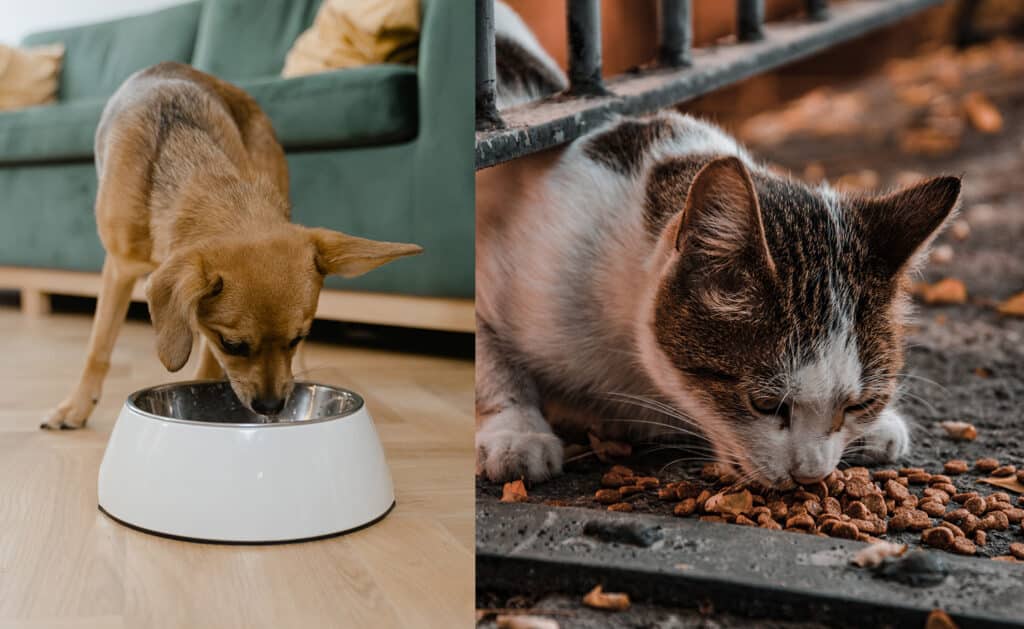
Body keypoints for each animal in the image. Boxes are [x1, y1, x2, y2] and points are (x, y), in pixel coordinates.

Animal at [41, 61, 421, 432]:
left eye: (297, 338)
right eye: (233, 345)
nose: (271, 407)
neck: (198, 173)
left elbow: (206, 366)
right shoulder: (119, 268)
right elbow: (98, 348)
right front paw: (76, 406)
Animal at [475, 2, 962, 487]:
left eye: (858, 405)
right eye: (765, 404)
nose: (810, 475)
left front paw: (879, 427)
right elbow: (490, 357)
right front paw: (516, 431)